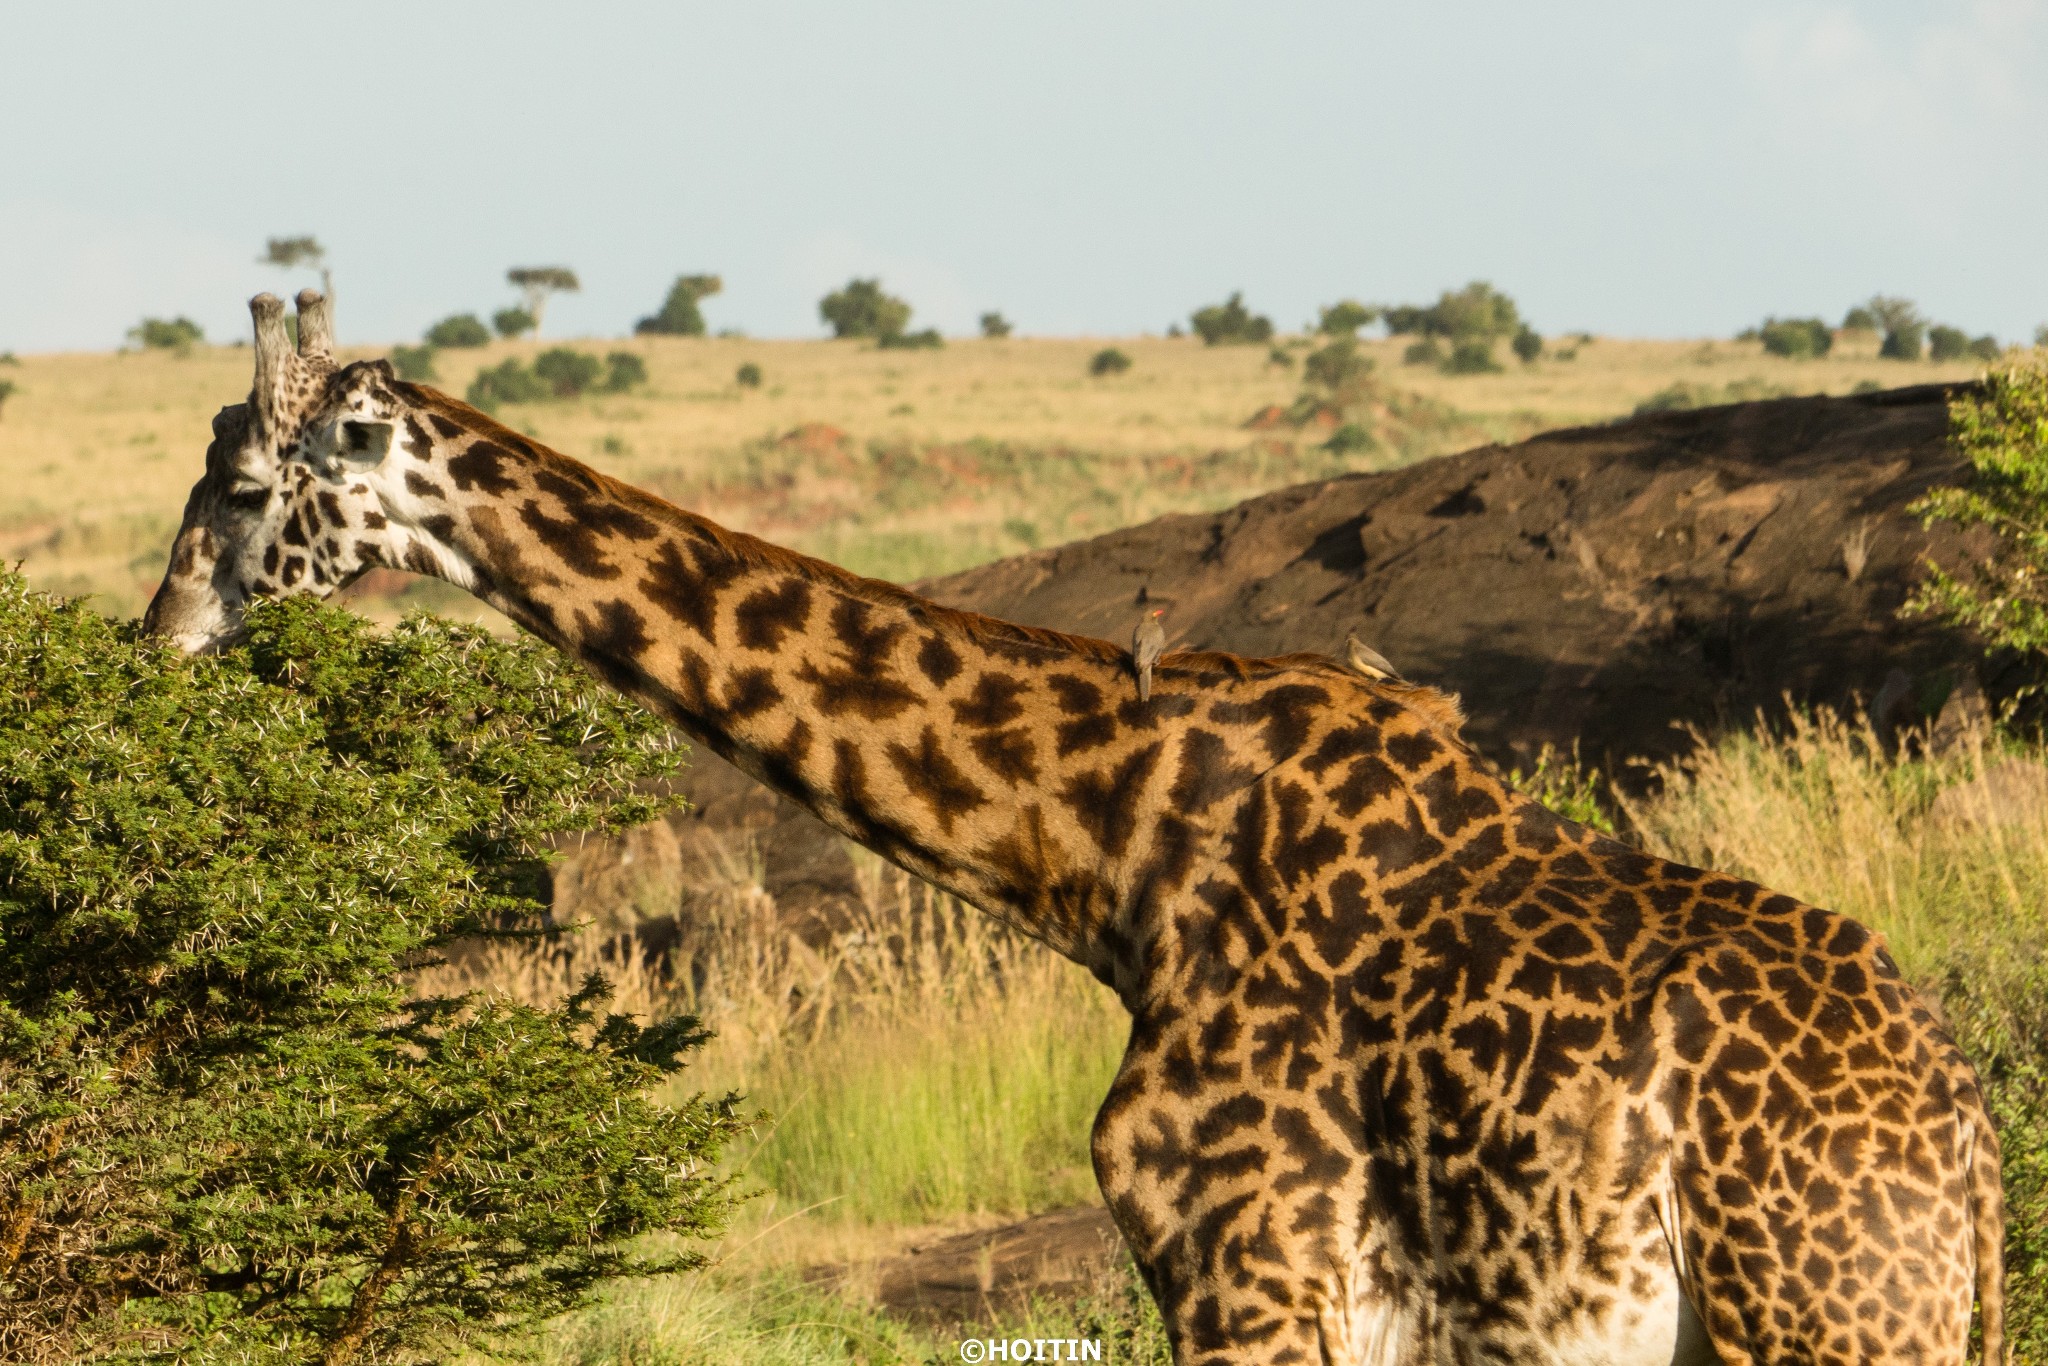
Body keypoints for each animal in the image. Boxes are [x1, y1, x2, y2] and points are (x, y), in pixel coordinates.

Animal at [144, 290, 1998, 1366]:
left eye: (240, 490)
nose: (152, 641)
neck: (1122, 850)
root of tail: (1970, 1161)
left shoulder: (1248, 1270)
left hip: (1817, 1323)